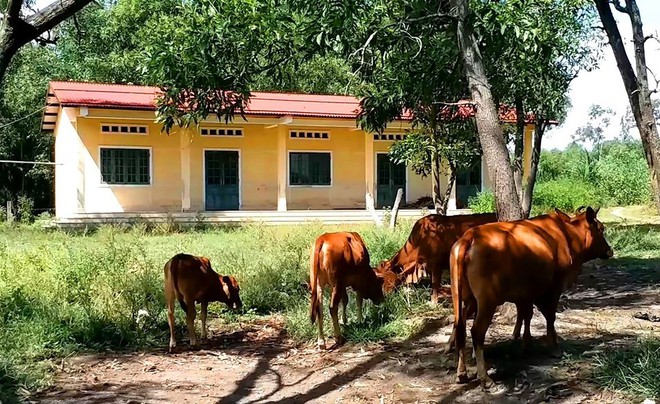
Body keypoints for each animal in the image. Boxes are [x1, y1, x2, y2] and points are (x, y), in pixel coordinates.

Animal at [448, 207, 612, 386]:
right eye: (601, 228)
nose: (610, 250)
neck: (567, 234)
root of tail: (470, 236)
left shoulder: (525, 293)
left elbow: (526, 315)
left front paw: (525, 344)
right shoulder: (553, 288)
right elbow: (549, 316)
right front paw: (554, 346)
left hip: (461, 298)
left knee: (460, 327)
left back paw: (461, 373)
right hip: (486, 301)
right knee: (477, 331)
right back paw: (484, 377)